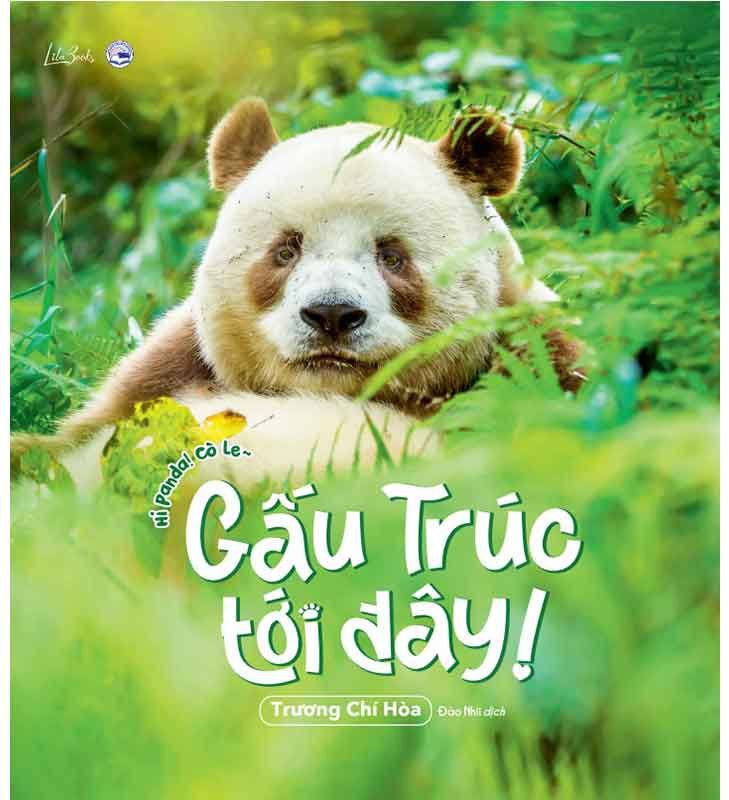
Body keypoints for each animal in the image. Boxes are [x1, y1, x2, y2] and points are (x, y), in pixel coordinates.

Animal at [13, 98, 583, 489]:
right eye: (287, 250)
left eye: (391, 255)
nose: (331, 314)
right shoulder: (164, 371)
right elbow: (64, 439)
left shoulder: (536, 363)